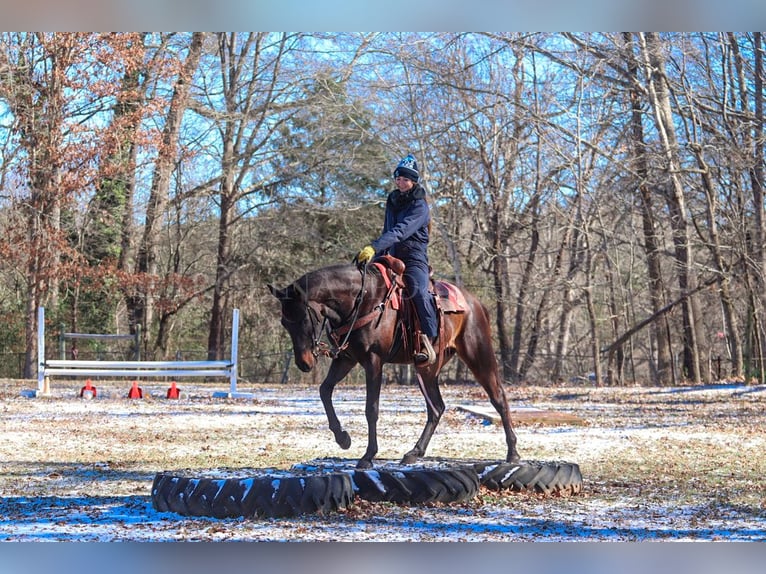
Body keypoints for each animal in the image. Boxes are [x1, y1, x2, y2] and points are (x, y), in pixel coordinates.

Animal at [268, 258, 520, 470]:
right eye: (284, 322)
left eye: (303, 318)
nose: (304, 363)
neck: (362, 300)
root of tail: (474, 302)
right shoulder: (347, 359)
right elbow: (324, 390)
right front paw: (343, 437)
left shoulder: (373, 361)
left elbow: (371, 409)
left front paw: (368, 456)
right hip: (427, 369)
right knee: (436, 408)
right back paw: (414, 452)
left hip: (478, 355)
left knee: (498, 398)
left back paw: (513, 453)